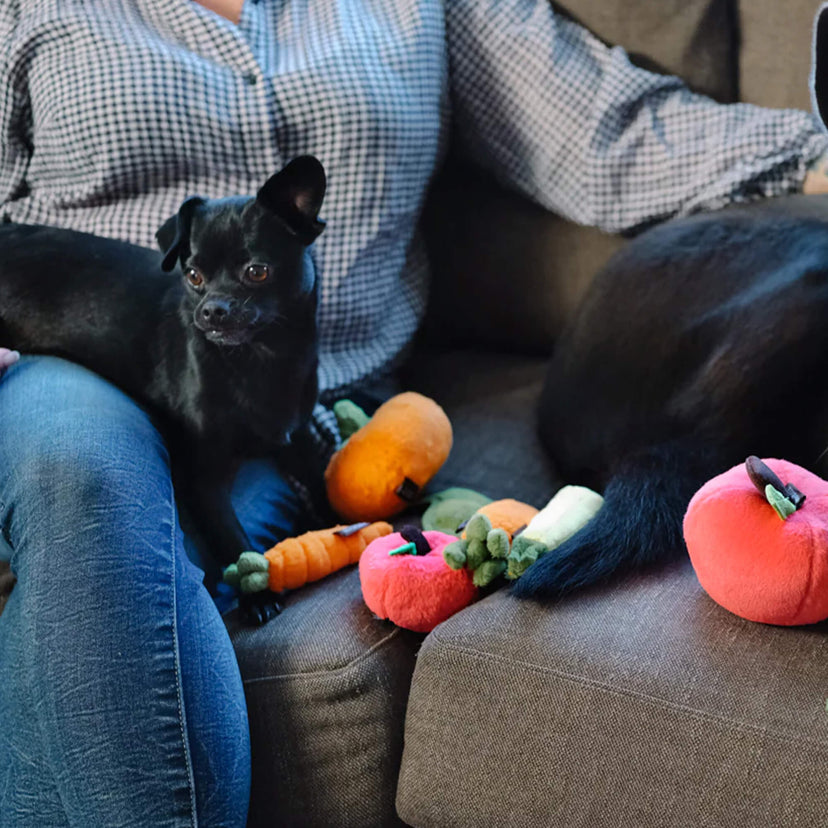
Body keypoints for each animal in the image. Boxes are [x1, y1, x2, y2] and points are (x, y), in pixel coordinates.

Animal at [0, 152, 326, 572]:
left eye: (257, 271)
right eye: (193, 276)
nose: (212, 310)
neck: (261, 358)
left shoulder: (298, 437)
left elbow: (322, 481)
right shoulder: (205, 480)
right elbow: (233, 542)